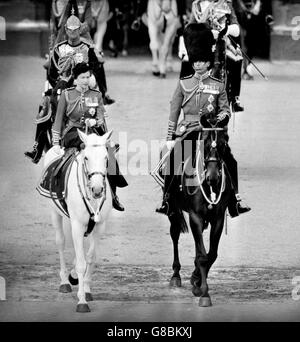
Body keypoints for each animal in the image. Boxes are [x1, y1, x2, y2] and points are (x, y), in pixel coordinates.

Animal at [44, 131, 113, 312]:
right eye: (86, 157)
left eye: (105, 157)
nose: (97, 190)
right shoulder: (77, 225)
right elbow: (82, 263)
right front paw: (82, 301)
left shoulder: (99, 226)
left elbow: (90, 257)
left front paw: (87, 291)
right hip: (55, 213)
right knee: (60, 242)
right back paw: (64, 282)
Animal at [168, 120, 233, 308]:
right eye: (204, 143)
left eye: (223, 144)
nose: (213, 177)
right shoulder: (195, 216)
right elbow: (204, 256)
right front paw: (203, 293)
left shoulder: (217, 218)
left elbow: (211, 254)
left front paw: (197, 280)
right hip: (173, 210)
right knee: (175, 234)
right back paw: (176, 275)